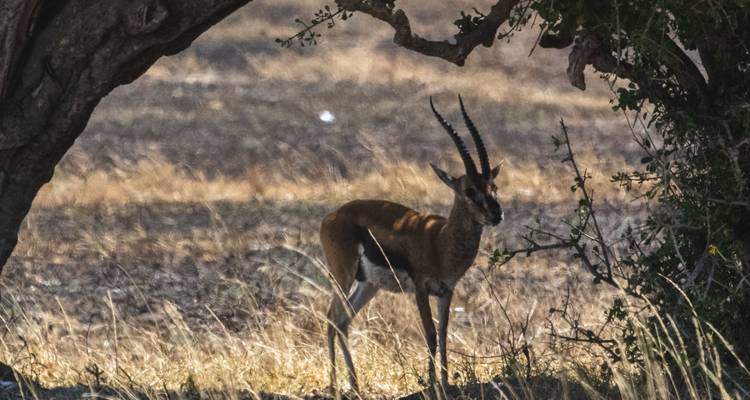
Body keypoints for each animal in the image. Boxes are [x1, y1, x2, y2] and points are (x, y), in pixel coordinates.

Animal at [320, 96, 503, 396]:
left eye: (493, 187)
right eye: (469, 190)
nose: (497, 214)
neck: (441, 240)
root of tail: (332, 216)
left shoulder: (446, 291)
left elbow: (444, 334)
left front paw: (445, 383)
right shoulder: (420, 288)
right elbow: (430, 333)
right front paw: (431, 385)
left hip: (368, 285)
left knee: (343, 320)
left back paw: (355, 385)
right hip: (342, 275)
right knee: (331, 317)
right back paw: (336, 387)